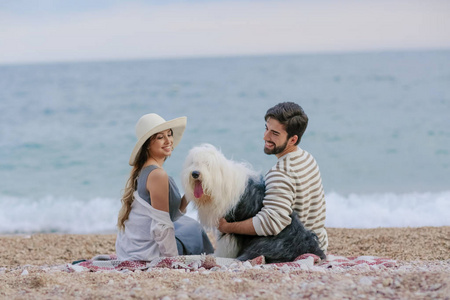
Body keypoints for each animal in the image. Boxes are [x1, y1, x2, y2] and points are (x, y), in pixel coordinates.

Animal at [183, 143, 326, 262]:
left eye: (207, 164)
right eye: (193, 163)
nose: (195, 173)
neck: (221, 181)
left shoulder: (229, 225)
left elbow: (226, 242)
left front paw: (219, 255)